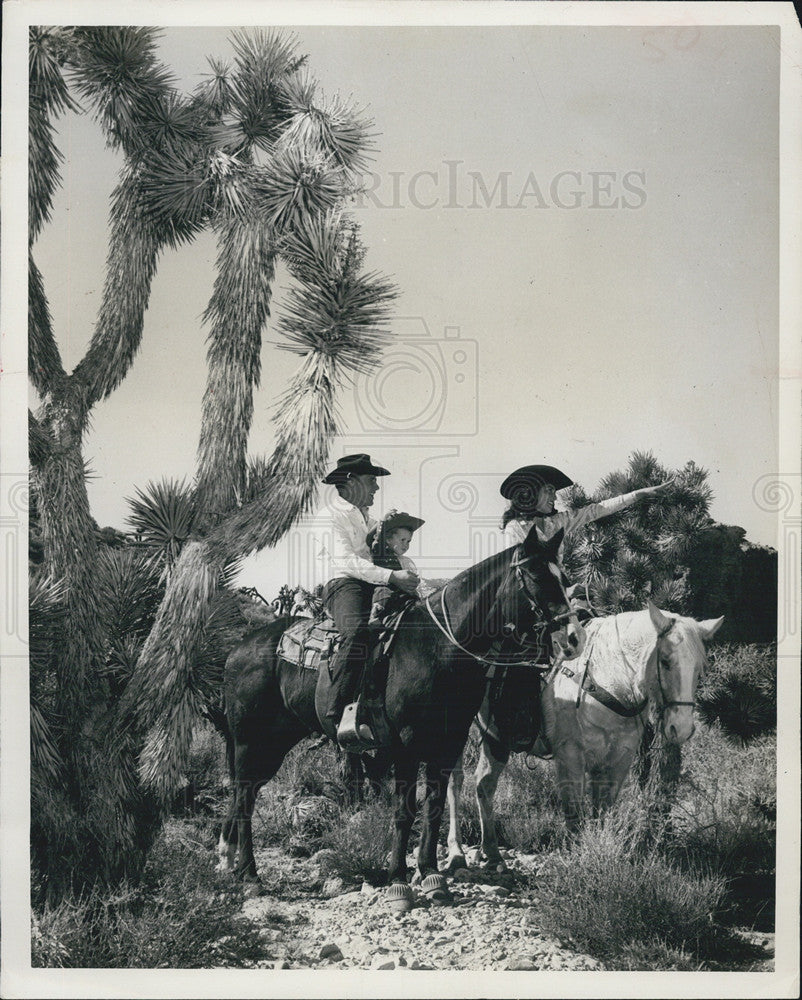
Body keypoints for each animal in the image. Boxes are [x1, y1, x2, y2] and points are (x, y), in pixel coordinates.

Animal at [216, 524, 584, 900]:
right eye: (536, 576)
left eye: (564, 577)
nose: (574, 638)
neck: (438, 648)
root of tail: (238, 650)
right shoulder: (405, 744)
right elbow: (405, 810)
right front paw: (398, 877)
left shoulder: (448, 742)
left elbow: (434, 806)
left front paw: (431, 874)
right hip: (249, 740)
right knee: (243, 796)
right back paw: (249, 873)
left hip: (274, 742)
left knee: (245, 794)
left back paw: (230, 860)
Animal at [446, 600, 720, 868]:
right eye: (665, 661)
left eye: (699, 668)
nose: (681, 728)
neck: (608, 677)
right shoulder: (570, 757)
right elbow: (574, 814)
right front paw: (577, 857)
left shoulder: (618, 761)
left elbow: (603, 812)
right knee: (455, 782)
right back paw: (456, 851)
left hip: (494, 739)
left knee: (484, 784)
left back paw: (491, 852)